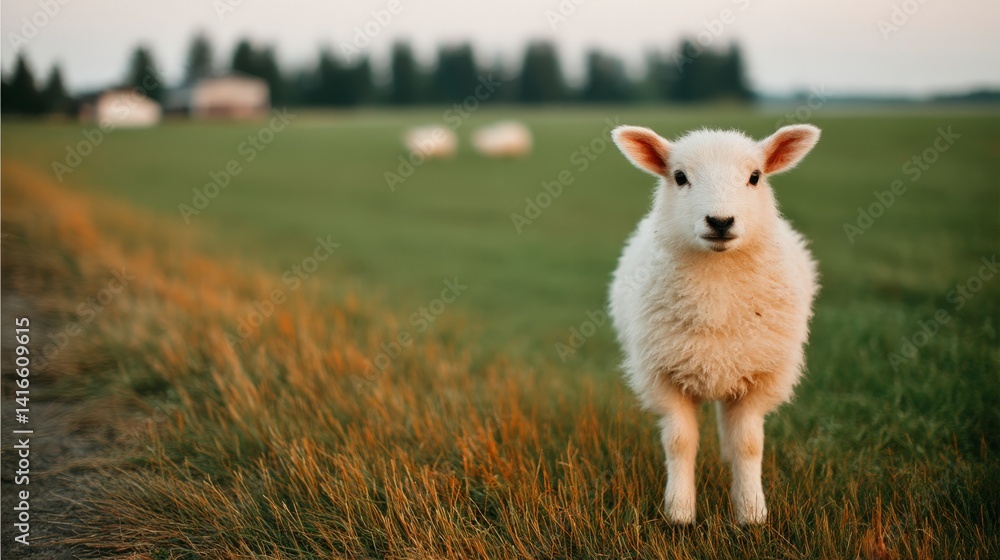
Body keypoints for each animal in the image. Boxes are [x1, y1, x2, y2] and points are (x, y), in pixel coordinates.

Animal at [608, 124, 821, 525]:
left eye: (755, 177)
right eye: (679, 177)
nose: (720, 221)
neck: (717, 293)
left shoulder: (759, 378)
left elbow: (749, 445)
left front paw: (751, 512)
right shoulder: (664, 376)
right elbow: (679, 443)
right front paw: (679, 512)